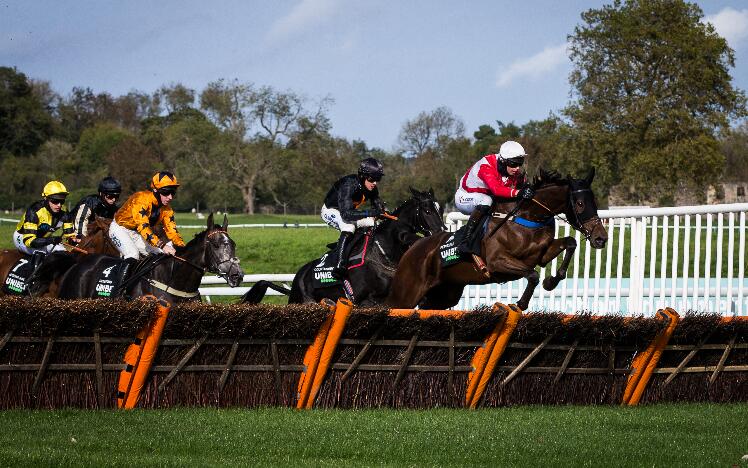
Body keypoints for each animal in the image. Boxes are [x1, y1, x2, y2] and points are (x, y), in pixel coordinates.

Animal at [243, 188, 448, 306]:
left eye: (441, 209)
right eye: (427, 210)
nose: (442, 232)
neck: (384, 254)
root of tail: (297, 278)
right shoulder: (364, 300)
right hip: (300, 301)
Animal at [386, 168, 608, 310]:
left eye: (594, 201)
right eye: (580, 203)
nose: (601, 238)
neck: (527, 217)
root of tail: (413, 248)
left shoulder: (541, 256)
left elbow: (570, 242)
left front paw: (551, 281)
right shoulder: (497, 262)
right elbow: (532, 275)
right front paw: (520, 304)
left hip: (444, 295)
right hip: (405, 295)